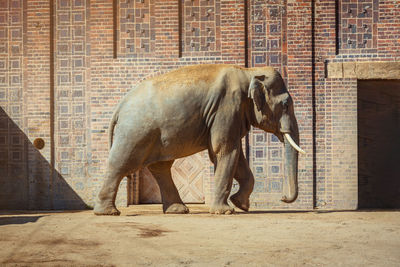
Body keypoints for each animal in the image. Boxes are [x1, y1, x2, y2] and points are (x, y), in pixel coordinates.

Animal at [94, 65, 304, 218]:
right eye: (286, 104)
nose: (283, 198)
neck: (248, 72)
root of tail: (120, 106)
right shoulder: (226, 107)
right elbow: (224, 151)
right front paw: (226, 211)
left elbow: (235, 155)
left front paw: (241, 204)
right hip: (135, 131)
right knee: (121, 163)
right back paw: (108, 213)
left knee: (160, 167)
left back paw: (178, 211)